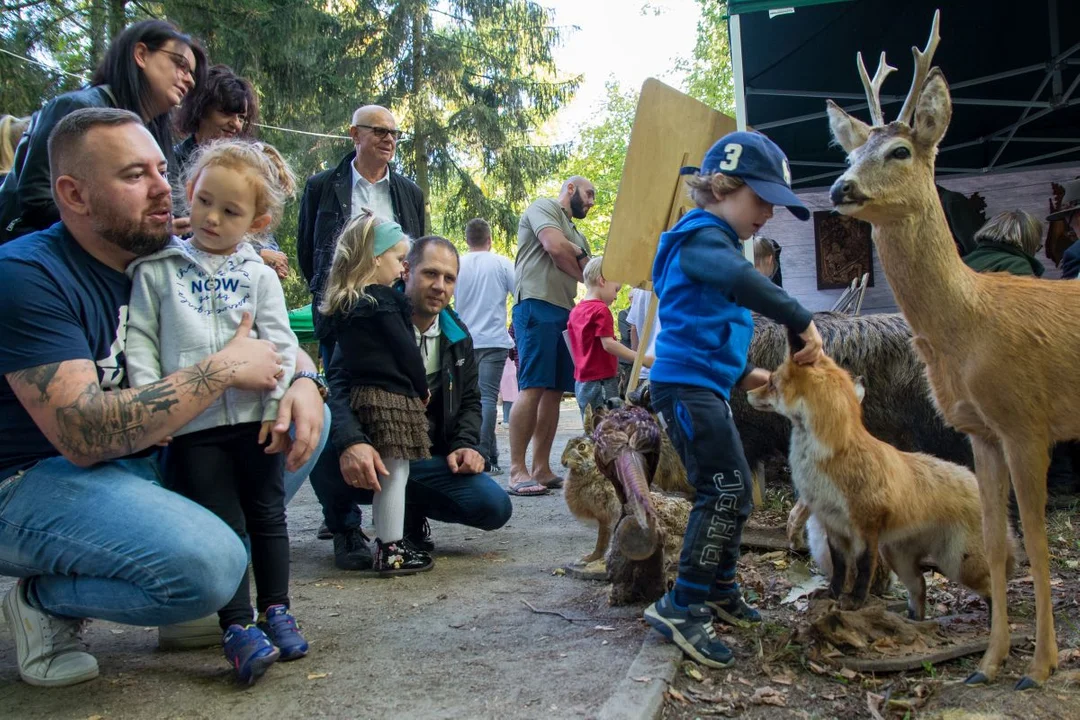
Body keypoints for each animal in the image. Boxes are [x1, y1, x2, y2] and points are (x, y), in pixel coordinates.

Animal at [743, 343, 1010, 621]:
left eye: (772, 382)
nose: (747, 391)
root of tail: (972, 478)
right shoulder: (831, 522)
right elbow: (839, 568)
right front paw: (831, 593)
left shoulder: (863, 527)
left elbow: (859, 569)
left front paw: (852, 601)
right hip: (898, 556)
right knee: (919, 586)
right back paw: (912, 619)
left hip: (956, 560)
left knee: (993, 587)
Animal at [825, 8, 1080, 690]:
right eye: (850, 150)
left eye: (899, 149)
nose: (839, 188)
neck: (972, 325)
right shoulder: (979, 431)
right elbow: (993, 539)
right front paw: (989, 663)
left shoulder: (1026, 421)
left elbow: (1036, 541)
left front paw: (1040, 666)